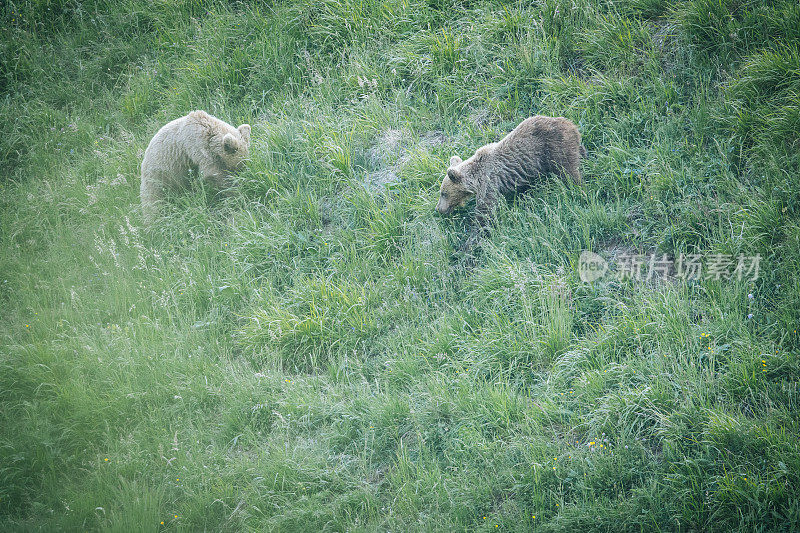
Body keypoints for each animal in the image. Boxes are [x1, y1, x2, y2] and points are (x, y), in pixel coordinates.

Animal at [434, 115, 584, 250]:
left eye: (443, 193)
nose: (439, 209)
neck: (475, 178)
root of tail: (572, 124)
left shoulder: (489, 182)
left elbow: (485, 212)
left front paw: (470, 242)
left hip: (556, 146)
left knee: (568, 170)